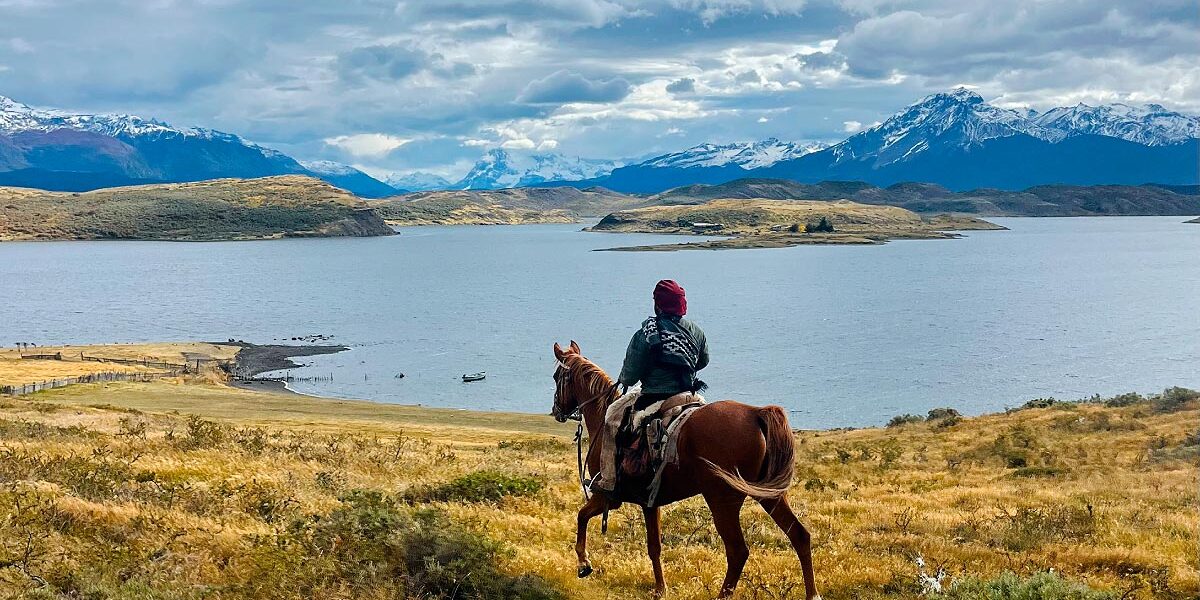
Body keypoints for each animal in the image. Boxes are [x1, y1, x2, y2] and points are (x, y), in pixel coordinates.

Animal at [549, 343, 816, 600]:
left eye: (556, 376)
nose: (556, 410)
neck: (603, 420)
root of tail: (755, 413)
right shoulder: (649, 503)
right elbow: (654, 547)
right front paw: (660, 589)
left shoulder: (607, 496)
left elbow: (581, 516)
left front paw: (583, 564)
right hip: (770, 495)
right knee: (799, 535)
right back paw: (813, 594)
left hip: (723, 500)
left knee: (738, 551)